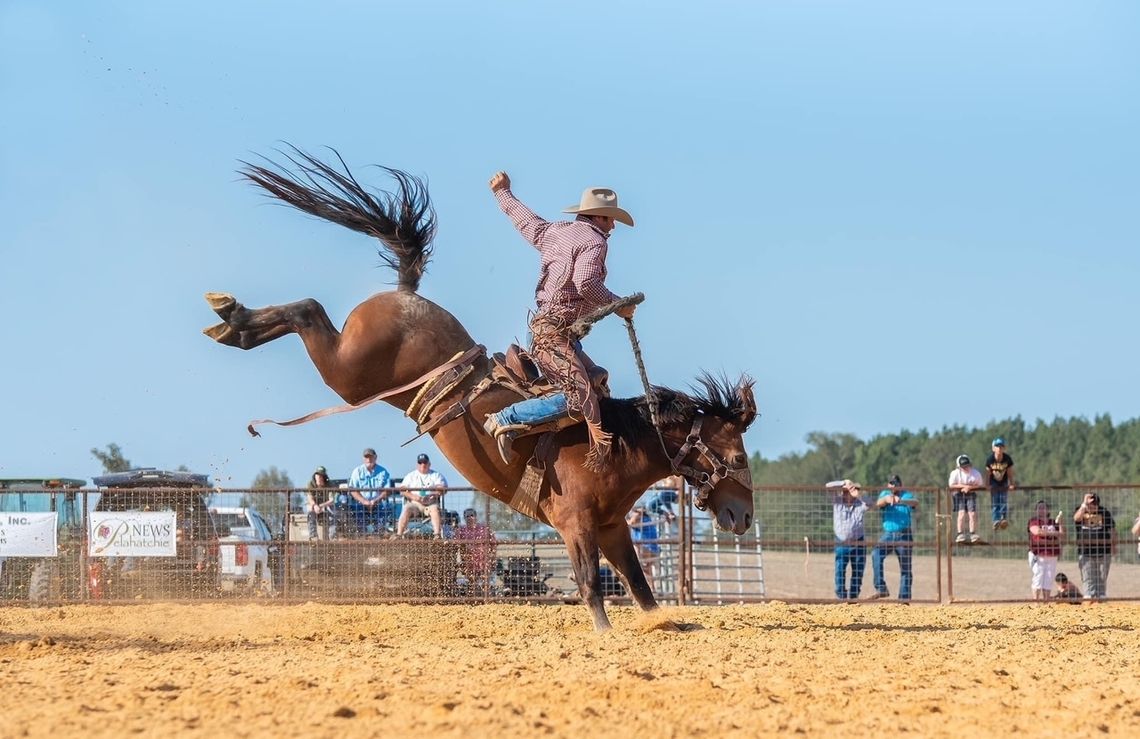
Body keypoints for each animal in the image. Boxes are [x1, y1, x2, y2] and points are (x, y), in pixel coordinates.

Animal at [205, 148, 756, 629]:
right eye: (736, 456)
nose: (745, 516)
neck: (620, 444)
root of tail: (406, 293)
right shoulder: (575, 524)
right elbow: (589, 584)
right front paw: (604, 632)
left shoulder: (613, 526)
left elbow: (639, 588)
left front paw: (668, 625)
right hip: (349, 370)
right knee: (309, 310)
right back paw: (232, 319)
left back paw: (232, 323)